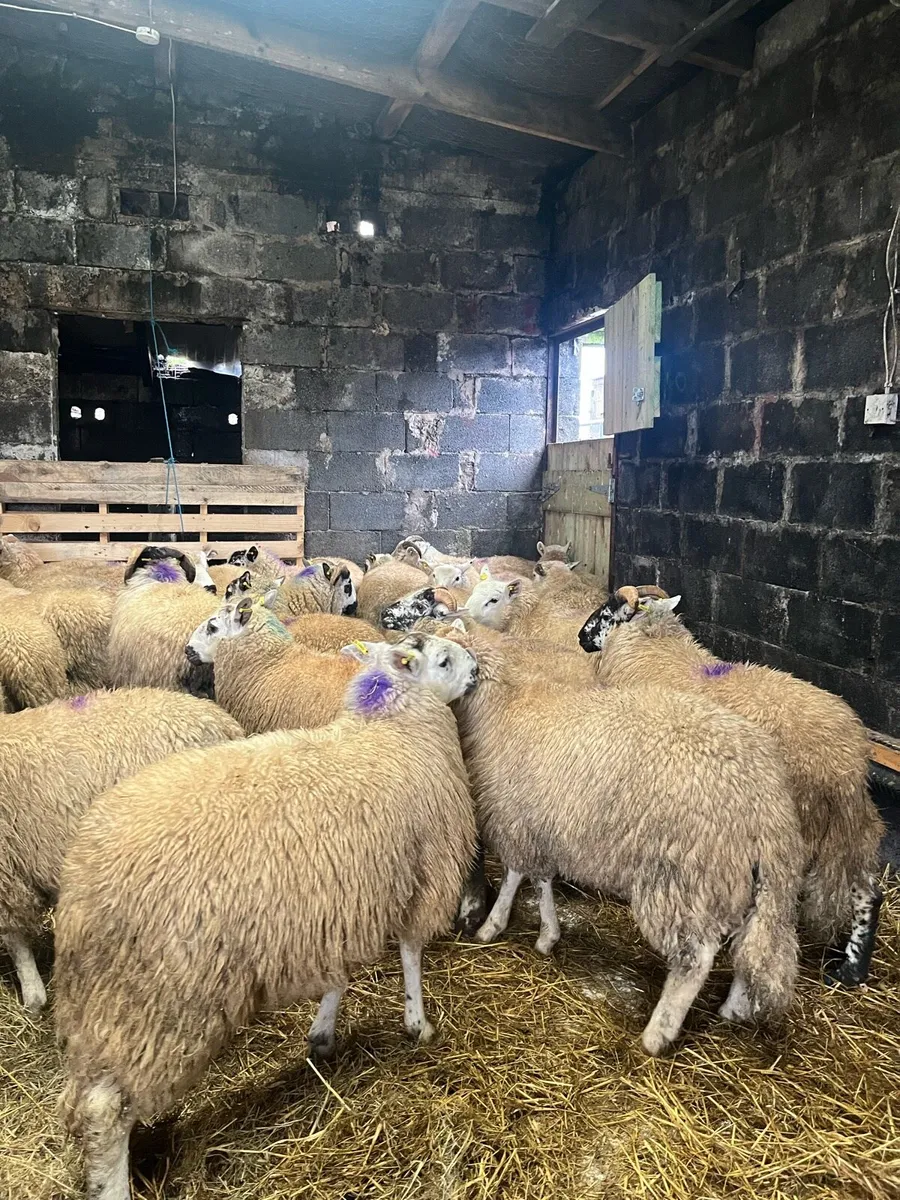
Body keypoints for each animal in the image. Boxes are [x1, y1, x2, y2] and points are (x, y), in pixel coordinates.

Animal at [54, 634, 478, 1200]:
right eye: (444, 660)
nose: (477, 673)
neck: (389, 727)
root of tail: (82, 883)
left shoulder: (338, 901)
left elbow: (336, 975)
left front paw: (322, 1034)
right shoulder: (426, 872)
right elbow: (411, 953)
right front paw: (419, 1025)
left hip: (103, 1005)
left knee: (84, 1099)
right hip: (160, 1001)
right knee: (106, 1110)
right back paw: (114, 1184)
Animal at [450, 634, 805, 1055]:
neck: (503, 702)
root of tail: (765, 803)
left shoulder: (516, 818)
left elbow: (515, 876)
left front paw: (492, 925)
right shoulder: (538, 824)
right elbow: (540, 880)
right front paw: (547, 935)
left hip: (685, 874)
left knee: (696, 958)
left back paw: (657, 1035)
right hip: (743, 876)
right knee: (750, 944)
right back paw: (733, 1007)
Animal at [579, 588, 885, 986]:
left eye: (608, 611)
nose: (580, 637)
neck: (657, 648)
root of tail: (846, 760)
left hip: (800, 821)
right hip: (848, 829)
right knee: (869, 893)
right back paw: (850, 971)